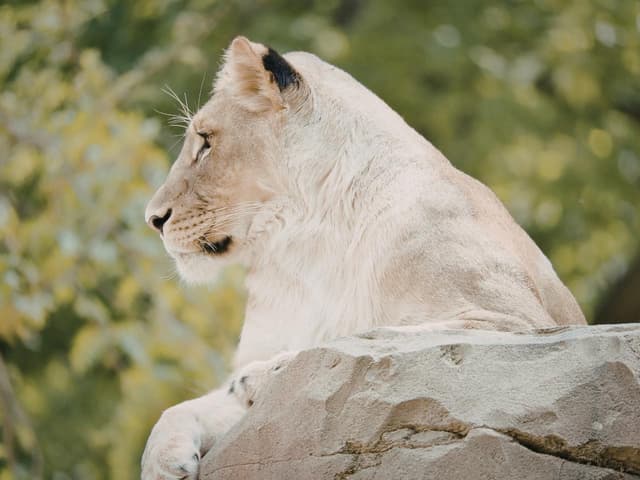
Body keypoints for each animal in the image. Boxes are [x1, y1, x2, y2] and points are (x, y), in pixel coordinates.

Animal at [141, 36, 585, 479]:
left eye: (206, 142)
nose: (153, 219)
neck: (305, 251)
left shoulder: (518, 323)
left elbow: (356, 342)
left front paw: (267, 374)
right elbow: (180, 409)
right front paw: (162, 463)